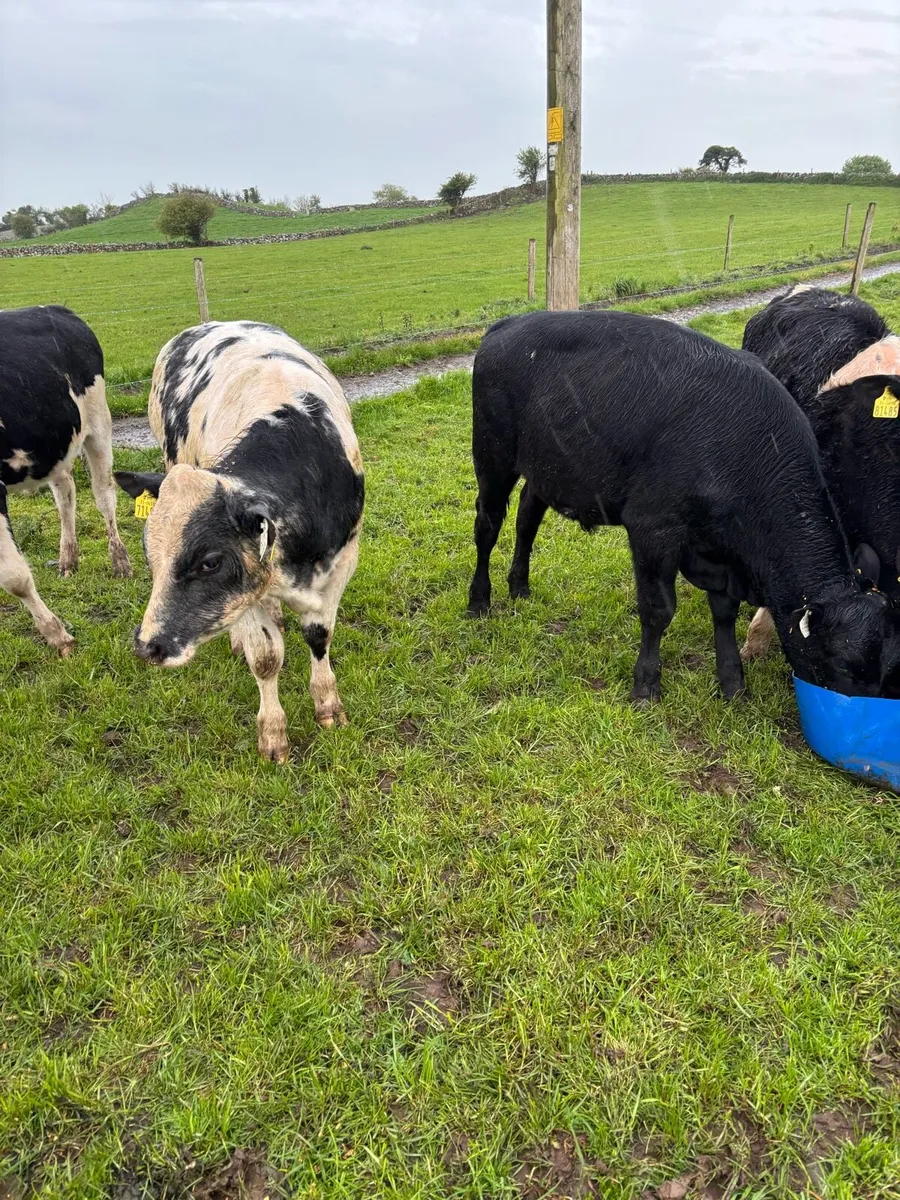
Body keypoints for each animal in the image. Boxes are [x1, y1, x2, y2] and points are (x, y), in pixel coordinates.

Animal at [0, 305, 131, 655]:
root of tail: (56, 308)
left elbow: (13, 576)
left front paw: (58, 635)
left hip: (98, 423)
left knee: (104, 496)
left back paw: (120, 562)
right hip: (56, 448)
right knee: (66, 496)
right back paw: (68, 561)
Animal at [114, 320, 364, 763]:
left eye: (210, 562)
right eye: (150, 556)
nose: (147, 646)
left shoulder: (341, 564)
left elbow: (319, 636)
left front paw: (328, 705)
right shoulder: (245, 595)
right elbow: (265, 658)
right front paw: (273, 734)